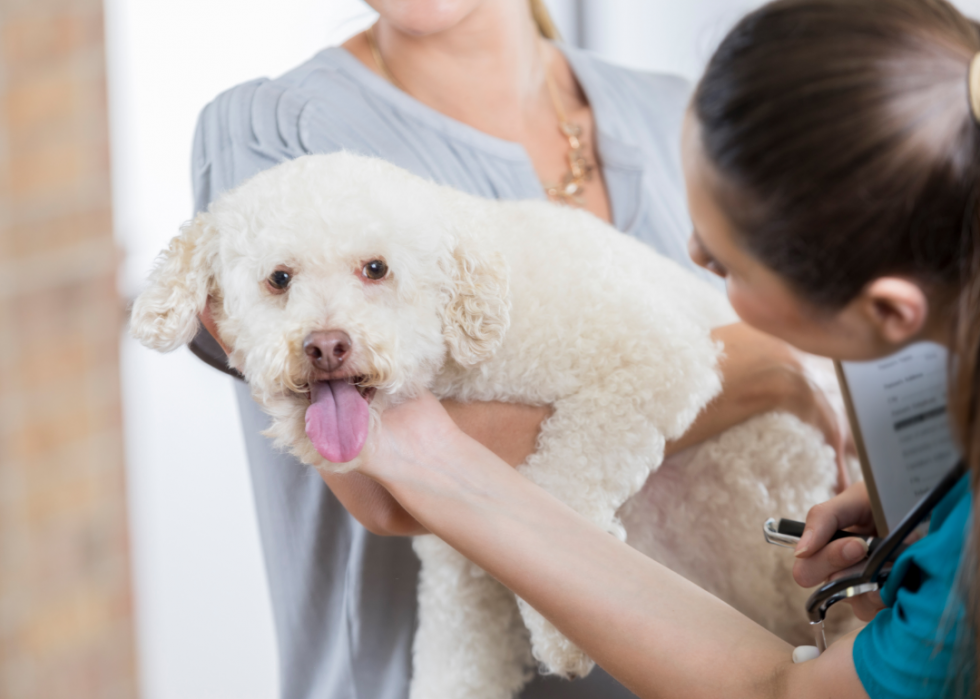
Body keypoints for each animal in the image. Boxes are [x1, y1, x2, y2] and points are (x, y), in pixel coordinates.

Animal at [130, 153, 840, 699]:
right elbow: (460, 661)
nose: (326, 345)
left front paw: (563, 633)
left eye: (376, 268)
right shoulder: (462, 573)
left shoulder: (656, 358)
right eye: (279, 279)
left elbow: (562, 483)